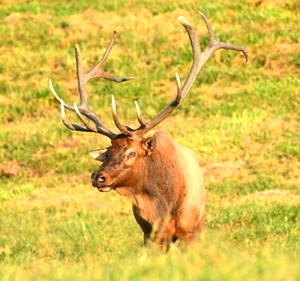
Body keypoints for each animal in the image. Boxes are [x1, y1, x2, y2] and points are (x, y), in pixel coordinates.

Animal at [48, 11, 246, 247]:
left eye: (132, 153)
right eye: (108, 152)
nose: (98, 177)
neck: (167, 204)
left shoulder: (189, 233)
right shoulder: (150, 236)